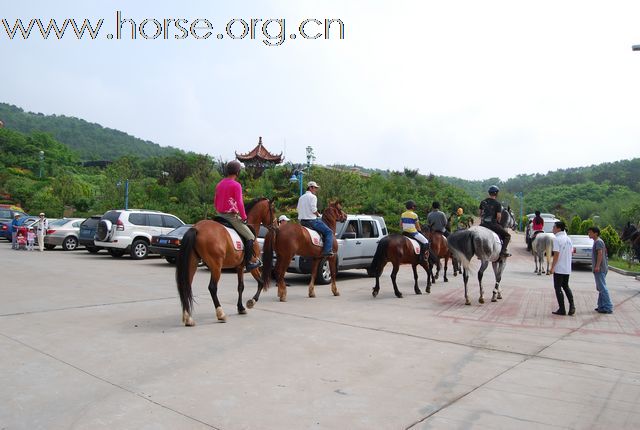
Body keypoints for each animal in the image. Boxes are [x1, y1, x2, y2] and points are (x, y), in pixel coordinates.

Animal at [175, 198, 276, 326]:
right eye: (273, 209)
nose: (277, 225)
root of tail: (196, 228)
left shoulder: (239, 267)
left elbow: (241, 286)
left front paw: (241, 308)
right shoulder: (252, 265)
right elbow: (261, 282)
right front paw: (251, 302)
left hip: (192, 263)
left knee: (186, 285)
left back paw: (188, 317)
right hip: (216, 267)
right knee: (212, 288)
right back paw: (221, 314)